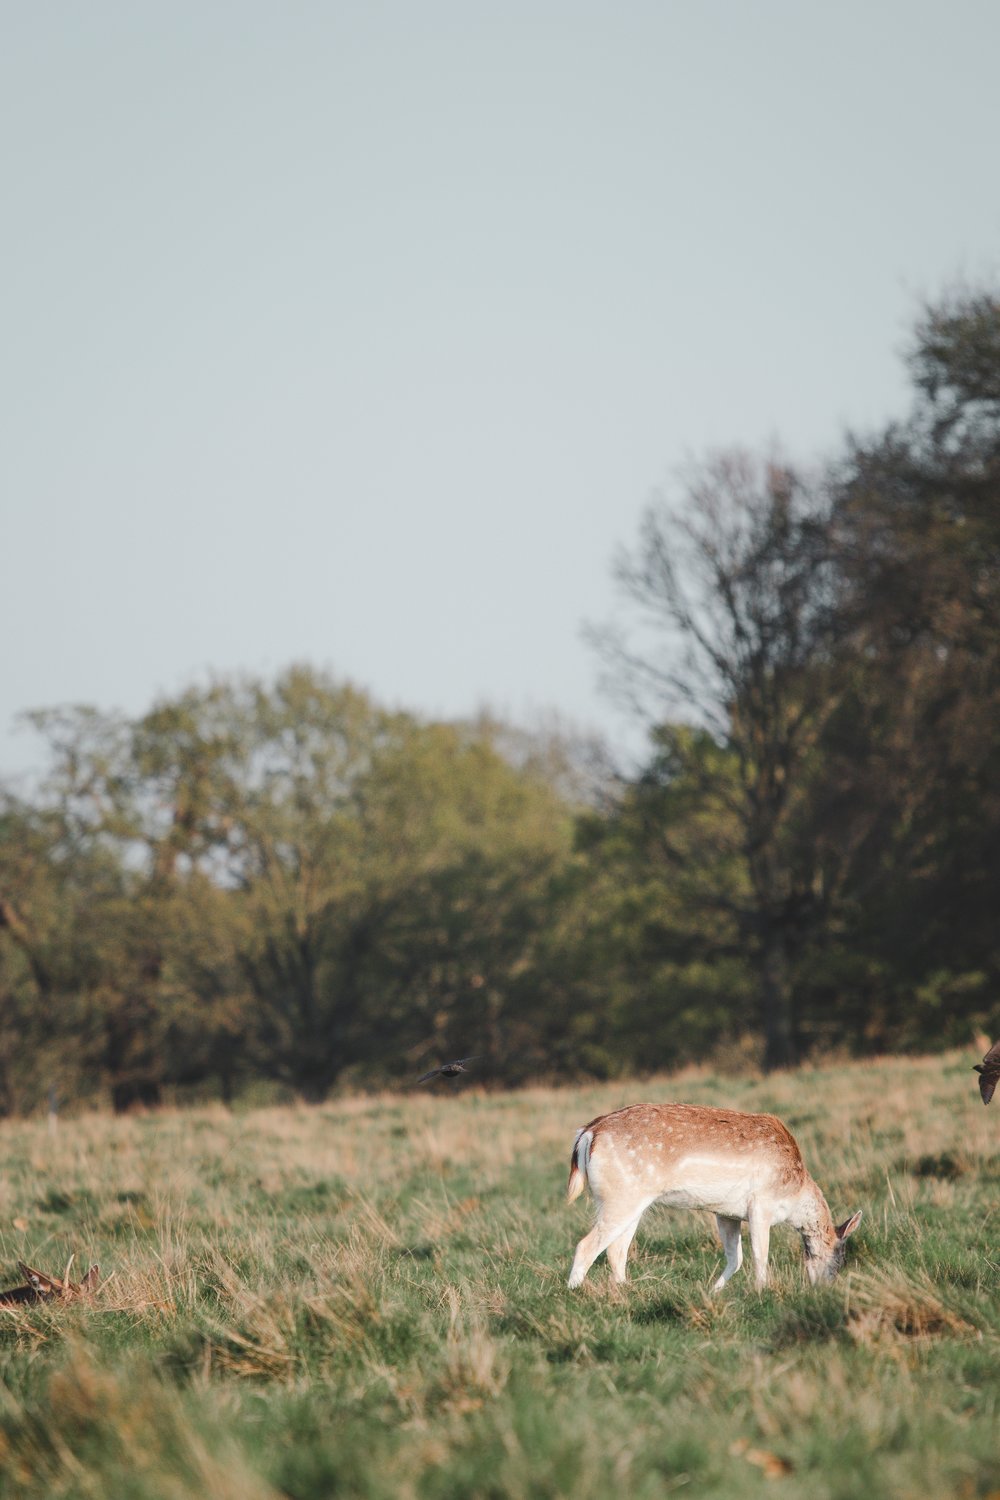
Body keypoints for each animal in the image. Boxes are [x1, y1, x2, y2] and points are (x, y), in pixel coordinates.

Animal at [566, 1103, 862, 1292]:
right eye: (840, 1258)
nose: (822, 1290)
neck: (794, 1194)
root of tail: (588, 1134)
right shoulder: (760, 1205)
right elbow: (759, 1254)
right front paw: (761, 1291)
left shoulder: (726, 1213)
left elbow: (735, 1258)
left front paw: (714, 1291)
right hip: (620, 1198)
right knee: (585, 1246)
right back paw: (573, 1292)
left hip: (631, 1202)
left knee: (616, 1250)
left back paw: (627, 1292)